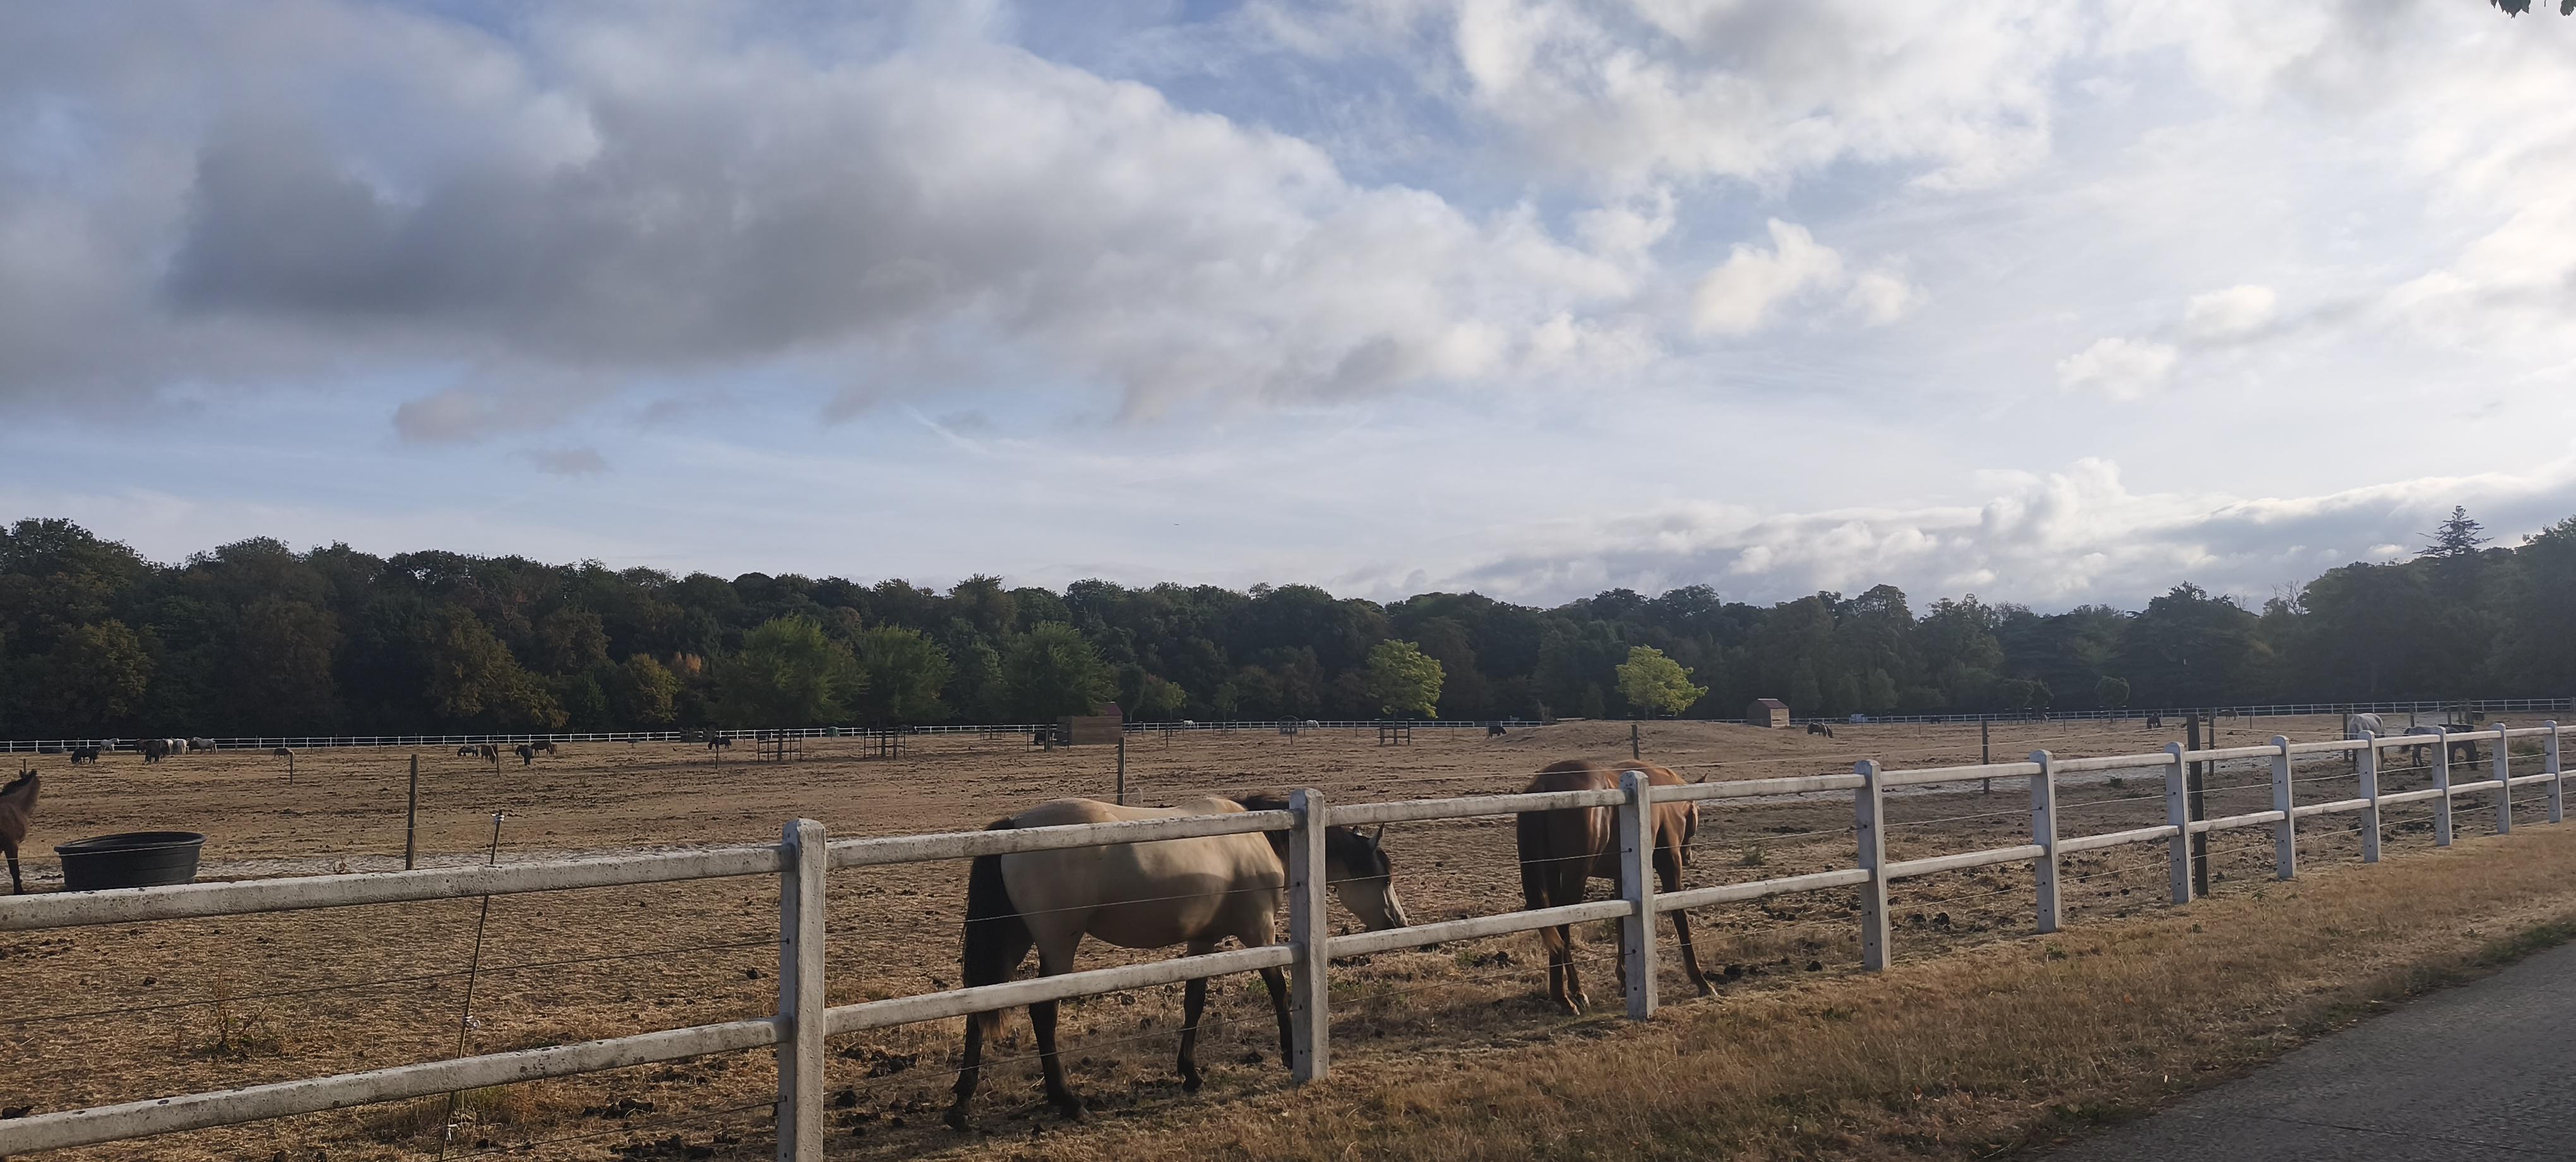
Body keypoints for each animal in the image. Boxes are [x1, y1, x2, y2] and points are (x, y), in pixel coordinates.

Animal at [946, 792, 1410, 1128]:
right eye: (1383, 876)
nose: (1399, 922)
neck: (1259, 837)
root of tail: (1015, 826)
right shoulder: (1259, 931)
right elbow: (1278, 988)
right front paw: (1288, 1053)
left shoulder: (1202, 940)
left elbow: (1194, 1001)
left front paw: (1190, 1073)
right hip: (1057, 945)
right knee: (1043, 1014)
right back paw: (1068, 1100)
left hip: (1015, 939)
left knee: (979, 1006)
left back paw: (962, 1104)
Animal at [1515, 759, 1713, 1013]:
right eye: (1696, 813)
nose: (1688, 856)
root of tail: (1544, 783)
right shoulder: (1670, 865)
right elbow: (1680, 917)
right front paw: (1700, 980)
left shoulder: (1621, 877)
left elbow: (1622, 924)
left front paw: (1625, 979)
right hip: (1575, 878)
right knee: (1562, 928)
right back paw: (1566, 997)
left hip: (1553, 873)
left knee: (1557, 927)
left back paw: (1576, 993)